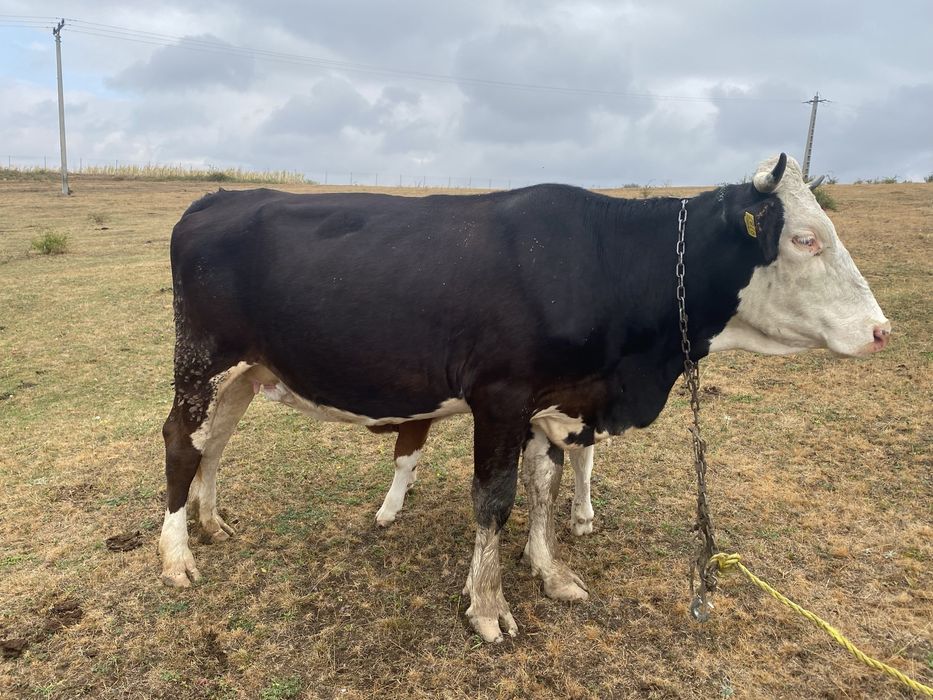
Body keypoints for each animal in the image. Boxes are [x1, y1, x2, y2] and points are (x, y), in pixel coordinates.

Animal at [159, 154, 890, 643]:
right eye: (804, 239)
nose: (881, 331)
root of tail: (214, 199)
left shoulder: (555, 400)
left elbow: (544, 483)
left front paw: (549, 568)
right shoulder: (500, 397)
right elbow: (495, 500)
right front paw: (487, 606)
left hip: (246, 369)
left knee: (214, 440)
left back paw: (211, 521)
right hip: (201, 360)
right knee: (180, 442)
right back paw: (176, 556)